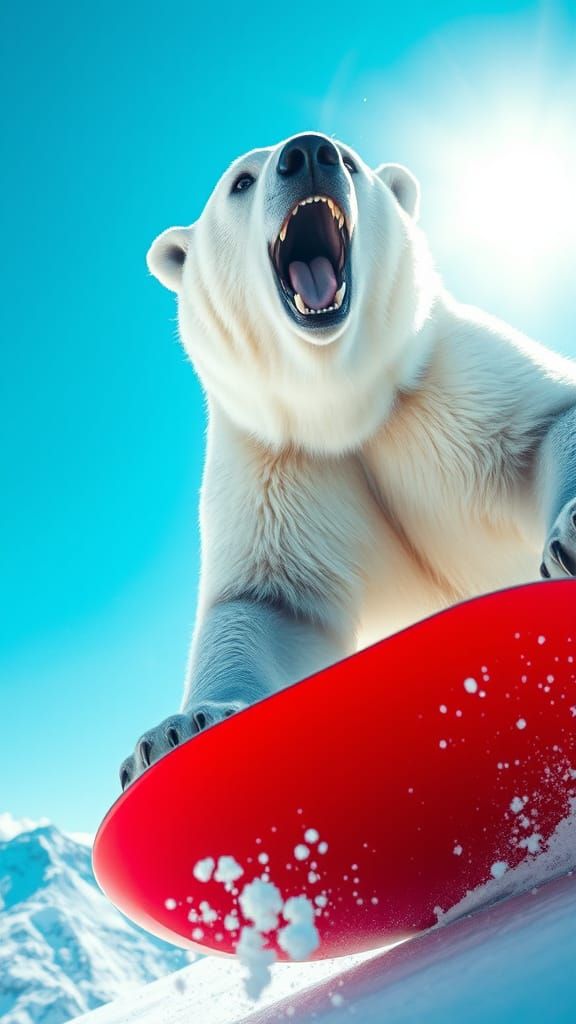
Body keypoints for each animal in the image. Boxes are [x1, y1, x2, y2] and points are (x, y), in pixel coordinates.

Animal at [120, 132, 576, 789]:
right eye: (240, 181)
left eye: (353, 162)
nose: (309, 152)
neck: (340, 400)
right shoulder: (276, 460)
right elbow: (268, 602)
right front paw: (176, 730)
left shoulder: (445, 380)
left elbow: (543, 424)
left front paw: (570, 535)